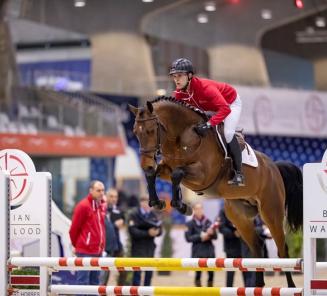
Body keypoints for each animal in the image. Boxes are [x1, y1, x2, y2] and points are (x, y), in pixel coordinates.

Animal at [129, 96, 304, 288]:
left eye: (151, 131)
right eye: (135, 132)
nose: (145, 164)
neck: (181, 137)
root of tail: (274, 167)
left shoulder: (202, 176)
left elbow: (177, 174)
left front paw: (182, 206)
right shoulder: (167, 168)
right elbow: (155, 175)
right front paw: (158, 202)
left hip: (271, 212)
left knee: (282, 249)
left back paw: (291, 286)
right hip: (239, 217)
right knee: (257, 246)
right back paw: (258, 286)